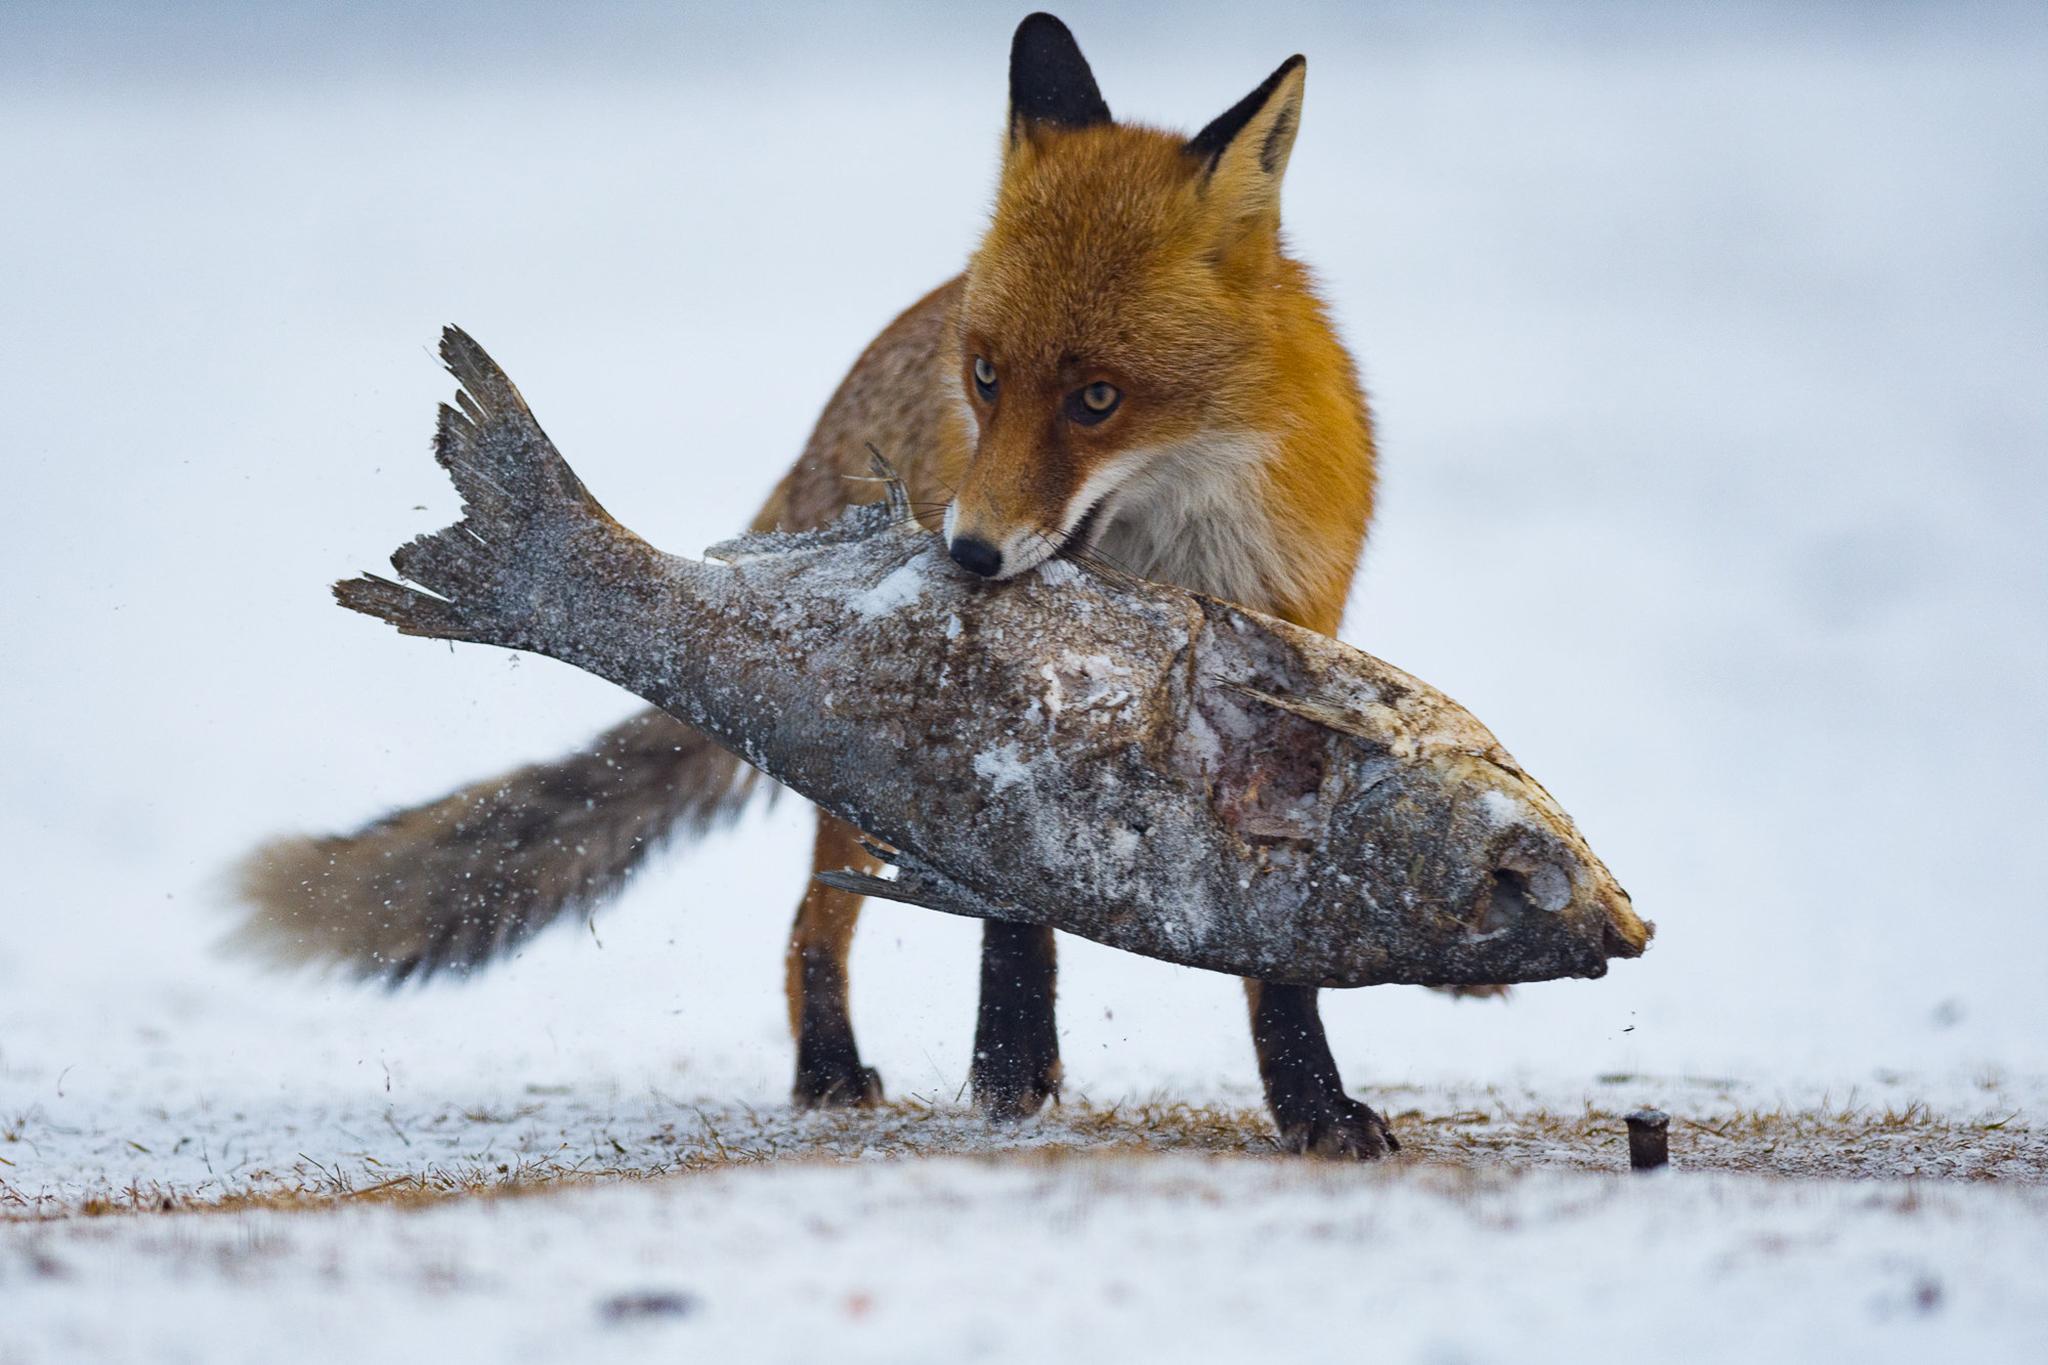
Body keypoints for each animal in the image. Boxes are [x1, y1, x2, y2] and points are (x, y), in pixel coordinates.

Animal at [235, 13, 1397, 1157]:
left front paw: (1310, 1100)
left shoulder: (1285, 706)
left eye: (1098, 399)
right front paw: (1009, 1059)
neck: (1166, 562)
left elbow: (1279, 963)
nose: (966, 553)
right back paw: (831, 1066)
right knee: (808, 924)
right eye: (986, 377)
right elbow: (1010, 912)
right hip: (863, 771)